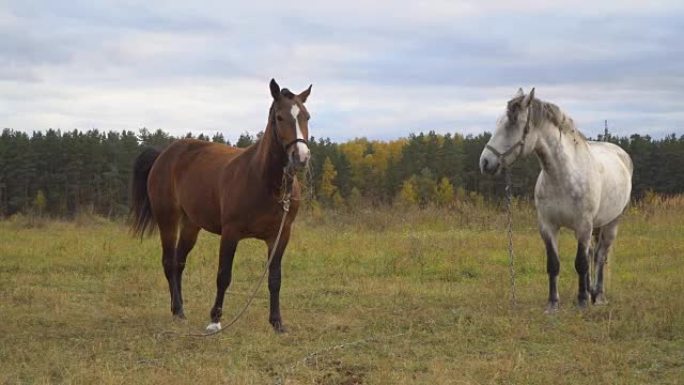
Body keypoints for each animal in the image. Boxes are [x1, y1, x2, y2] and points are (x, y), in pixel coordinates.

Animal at [130, 79, 312, 332]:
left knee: (178, 263)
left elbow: (275, 278)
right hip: (167, 219)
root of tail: (163, 155)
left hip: (191, 225)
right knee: (168, 262)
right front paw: (215, 320)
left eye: (306, 116)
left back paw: (180, 310)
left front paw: (277, 323)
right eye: (279, 117)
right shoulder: (230, 233)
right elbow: (224, 275)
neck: (264, 181)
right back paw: (177, 310)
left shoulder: (280, 235)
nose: (301, 157)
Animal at [480, 88, 632, 310]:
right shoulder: (548, 226)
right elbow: (553, 264)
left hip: (611, 223)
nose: (485, 162)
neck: (562, 175)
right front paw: (552, 303)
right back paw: (590, 292)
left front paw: (582, 301)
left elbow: (580, 263)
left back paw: (598, 296)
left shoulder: (583, 225)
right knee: (592, 254)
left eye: (512, 123)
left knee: (600, 256)